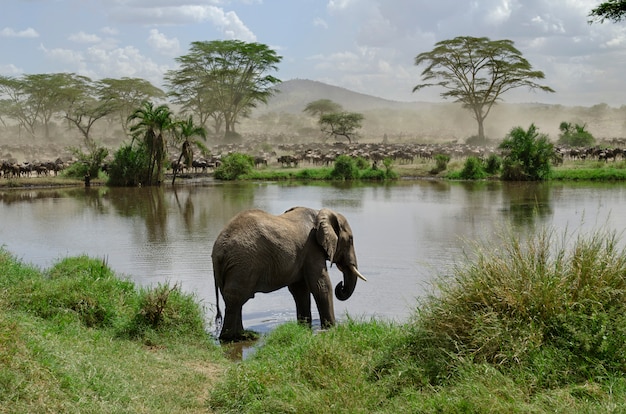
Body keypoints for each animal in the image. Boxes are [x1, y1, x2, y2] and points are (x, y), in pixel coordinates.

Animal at [212, 205, 364, 342]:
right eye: (350, 239)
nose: (341, 285)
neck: (319, 213)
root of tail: (219, 250)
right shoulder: (312, 248)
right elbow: (321, 286)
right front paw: (330, 329)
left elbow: (300, 290)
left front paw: (304, 327)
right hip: (243, 263)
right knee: (236, 297)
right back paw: (231, 338)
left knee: (233, 299)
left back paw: (242, 335)